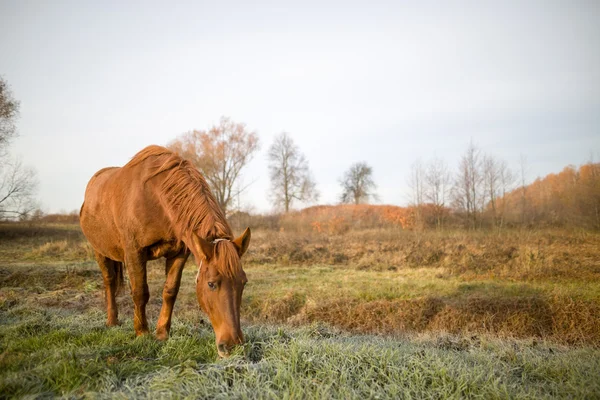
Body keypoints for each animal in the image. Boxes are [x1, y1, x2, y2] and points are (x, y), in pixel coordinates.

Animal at [79, 145, 248, 358]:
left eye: (243, 283)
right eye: (211, 284)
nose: (233, 345)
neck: (156, 199)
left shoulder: (179, 254)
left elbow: (170, 291)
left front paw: (161, 333)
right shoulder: (135, 253)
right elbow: (140, 292)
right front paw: (142, 333)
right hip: (100, 251)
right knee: (109, 282)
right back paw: (112, 321)